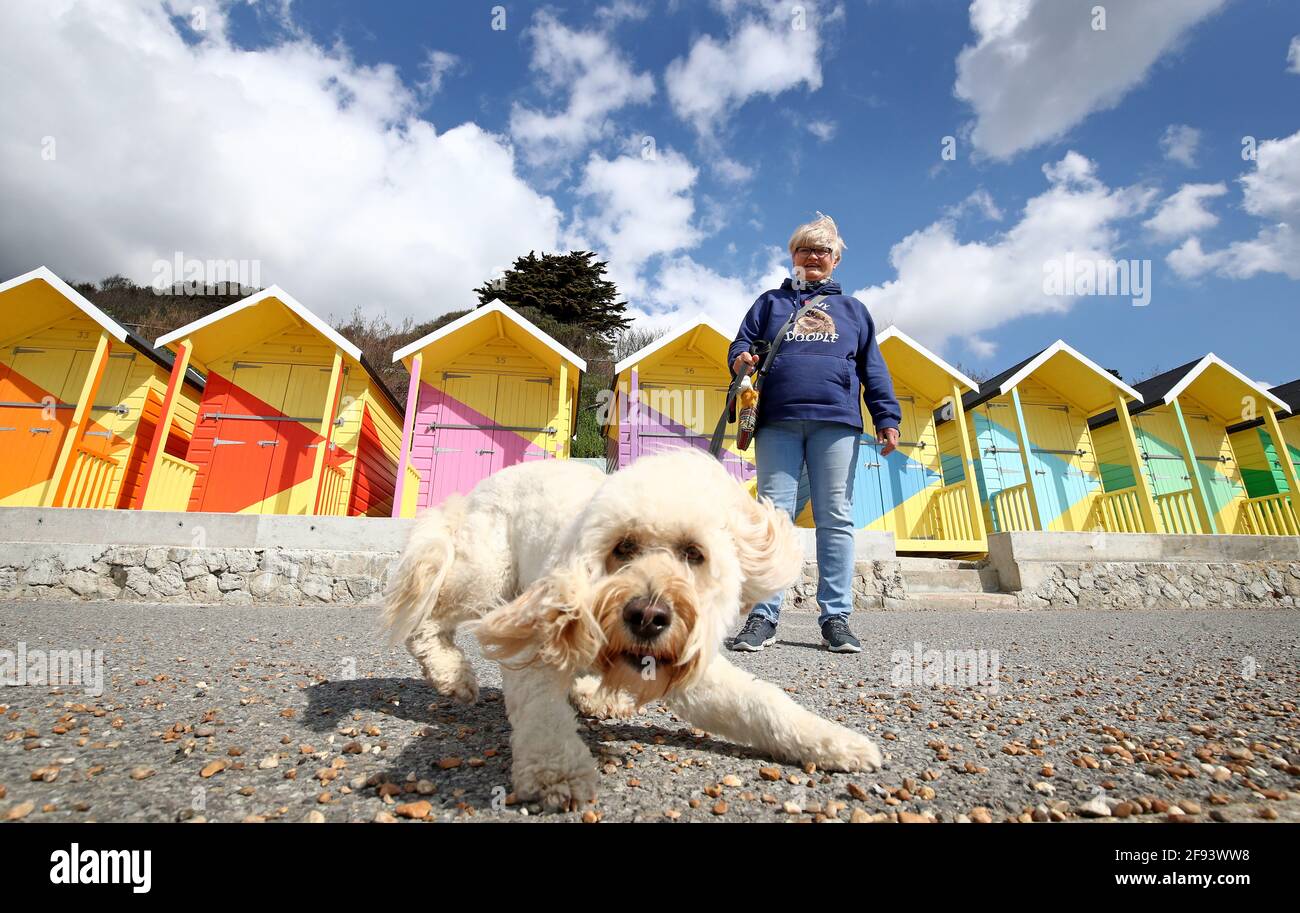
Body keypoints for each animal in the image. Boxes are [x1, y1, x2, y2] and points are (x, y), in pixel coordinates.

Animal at [379, 447, 878, 811]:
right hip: (487, 573)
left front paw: (838, 743)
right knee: (429, 619)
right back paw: (450, 673)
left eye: (693, 553)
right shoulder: (539, 641)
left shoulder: (693, 669)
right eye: (624, 546)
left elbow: (763, 705)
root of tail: (477, 489)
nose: (648, 616)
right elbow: (542, 716)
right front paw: (558, 773)